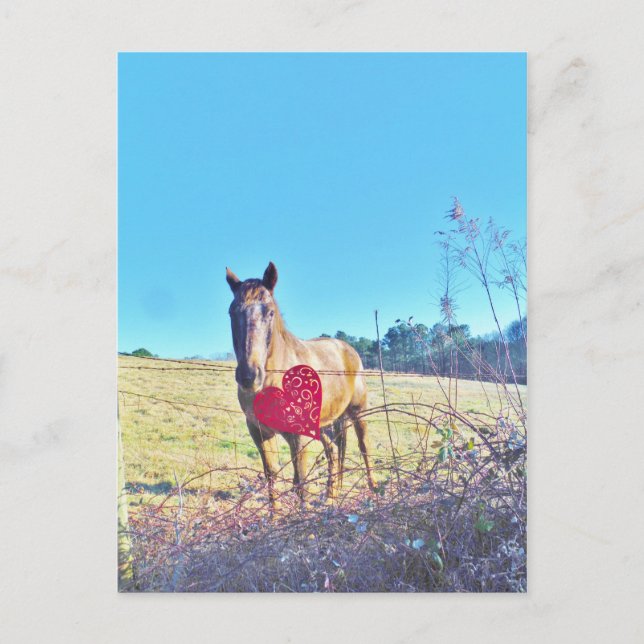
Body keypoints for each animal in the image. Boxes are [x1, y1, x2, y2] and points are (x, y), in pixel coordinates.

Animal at [226, 261, 376, 507]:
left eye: (270, 312)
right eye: (232, 312)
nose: (249, 376)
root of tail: (347, 348)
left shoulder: (297, 437)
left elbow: (300, 482)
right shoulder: (259, 432)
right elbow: (271, 475)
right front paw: (275, 515)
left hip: (358, 412)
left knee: (364, 448)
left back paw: (373, 491)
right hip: (324, 423)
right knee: (333, 450)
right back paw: (330, 497)